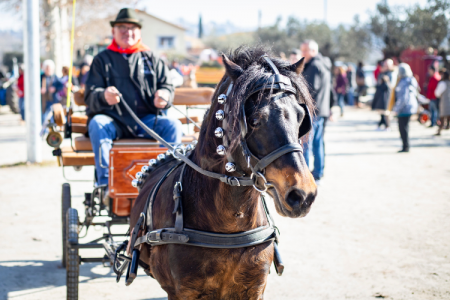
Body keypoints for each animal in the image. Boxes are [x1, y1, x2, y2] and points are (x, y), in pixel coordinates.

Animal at [129, 45, 316, 298]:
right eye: (254, 120)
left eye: (301, 117)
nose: (303, 194)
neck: (229, 225)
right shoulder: (182, 292)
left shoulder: (254, 288)